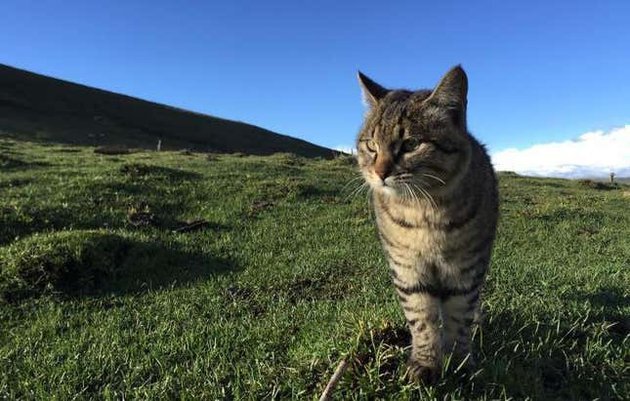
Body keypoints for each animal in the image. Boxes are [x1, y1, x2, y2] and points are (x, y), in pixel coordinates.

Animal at [358, 65, 502, 382]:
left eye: (411, 144)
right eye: (371, 145)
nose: (380, 173)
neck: (424, 211)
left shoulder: (465, 270)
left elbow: (459, 317)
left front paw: (459, 361)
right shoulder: (408, 269)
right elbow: (421, 319)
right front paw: (425, 362)